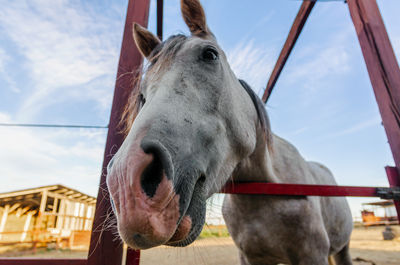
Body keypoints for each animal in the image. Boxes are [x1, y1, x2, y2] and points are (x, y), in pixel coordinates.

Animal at [106, 1, 354, 262]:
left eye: (209, 54)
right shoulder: (249, 257)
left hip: (342, 249)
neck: (266, 192)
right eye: (142, 94)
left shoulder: (312, 255)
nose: (127, 186)